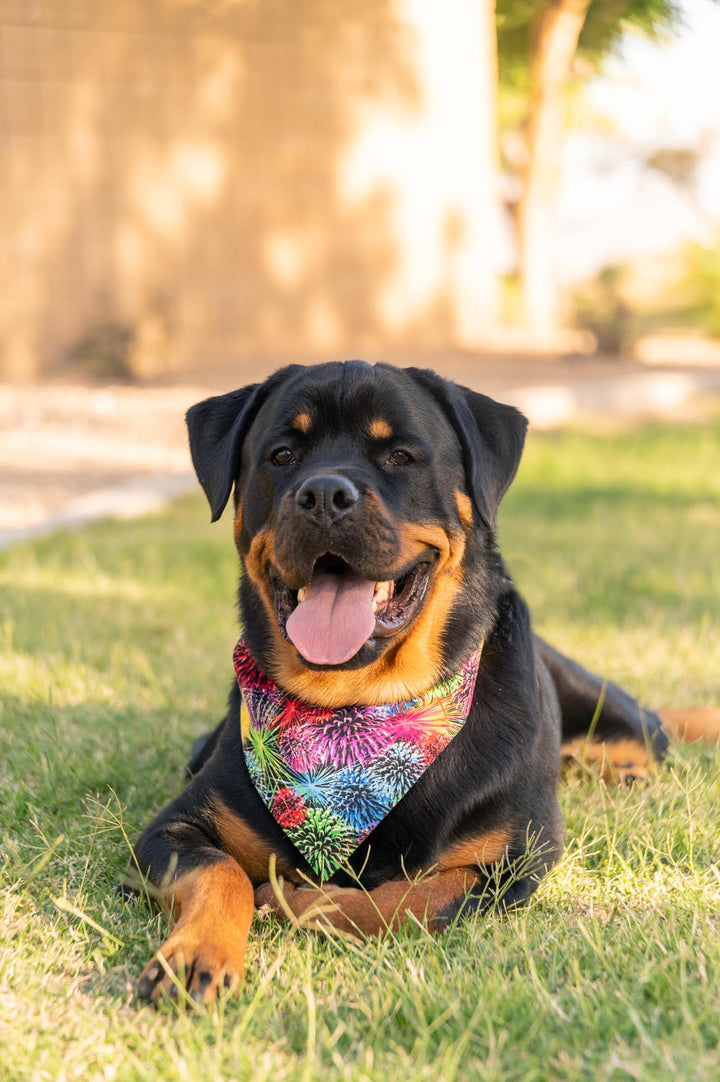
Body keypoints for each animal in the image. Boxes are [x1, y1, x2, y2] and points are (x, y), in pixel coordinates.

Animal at [130, 363, 666, 1004]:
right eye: (282, 454)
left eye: (401, 455)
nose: (324, 494)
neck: (358, 707)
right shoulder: (170, 829)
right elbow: (221, 869)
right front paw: (197, 952)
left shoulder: (515, 857)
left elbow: (411, 897)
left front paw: (300, 901)